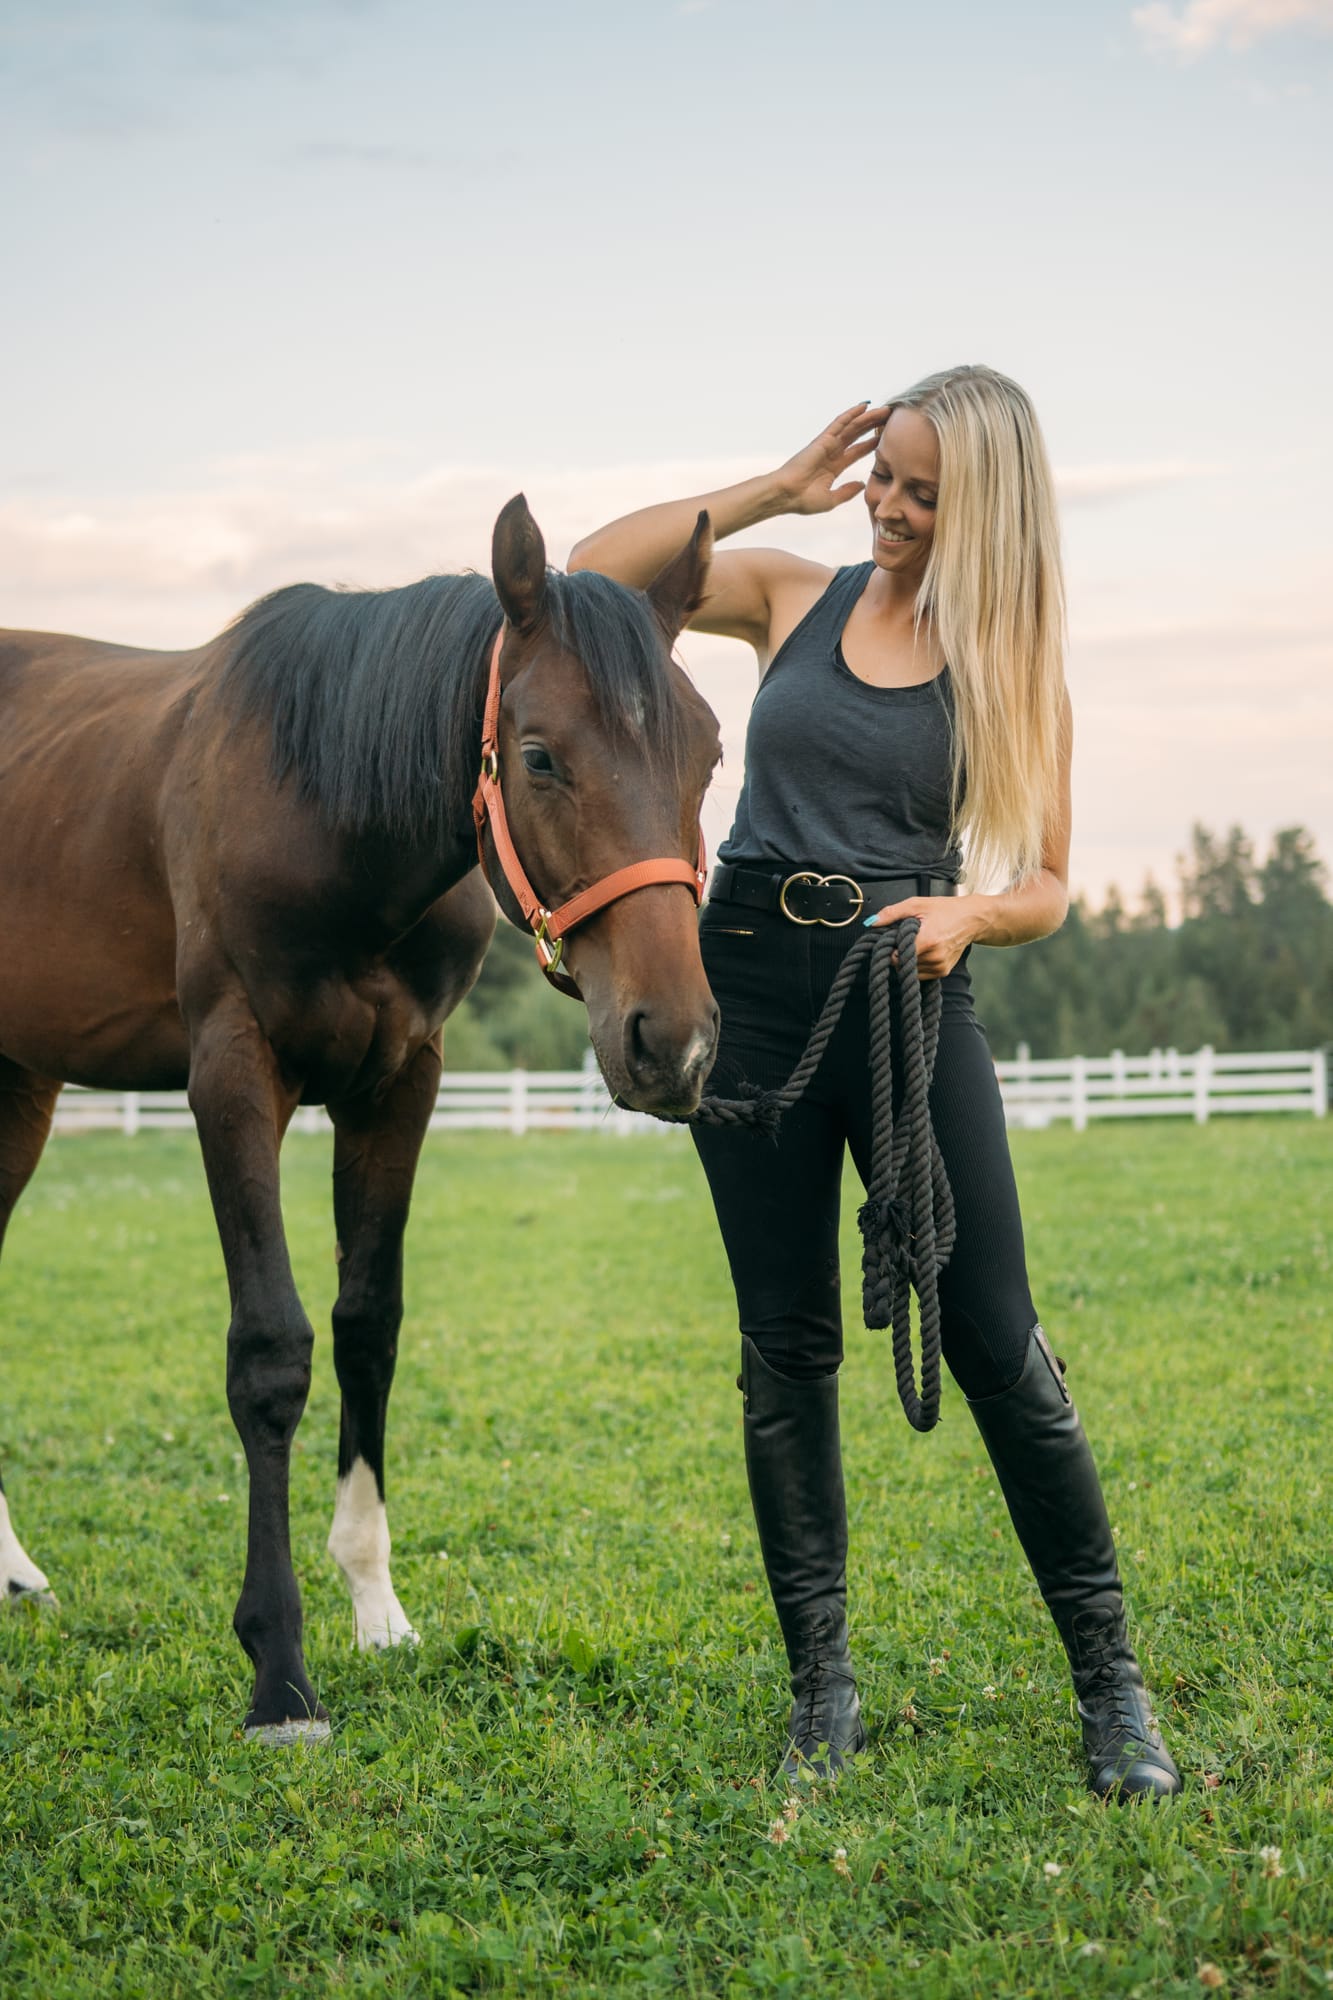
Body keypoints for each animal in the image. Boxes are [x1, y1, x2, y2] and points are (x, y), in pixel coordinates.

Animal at [0, 496, 721, 1742]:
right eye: (540, 755)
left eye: (711, 750)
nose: (668, 1041)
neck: (326, 809)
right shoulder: (232, 1073)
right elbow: (271, 1351)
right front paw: (280, 1671)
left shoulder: (399, 1082)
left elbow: (366, 1323)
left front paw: (376, 1606)